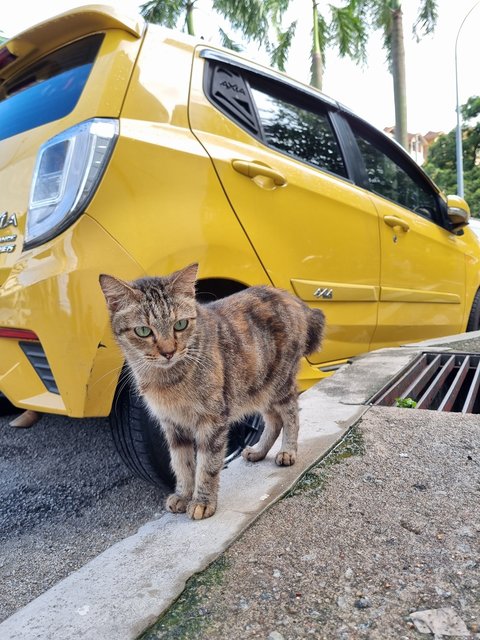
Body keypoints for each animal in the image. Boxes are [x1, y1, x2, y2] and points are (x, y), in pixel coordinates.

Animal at [99, 264, 324, 520]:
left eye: (180, 325)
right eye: (143, 331)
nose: (168, 352)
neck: (168, 381)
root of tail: (290, 297)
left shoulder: (212, 419)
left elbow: (207, 465)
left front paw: (202, 501)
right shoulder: (172, 424)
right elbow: (182, 463)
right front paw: (184, 494)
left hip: (279, 384)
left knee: (291, 415)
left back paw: (288, 451)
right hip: (257, 388)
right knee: (273, 421)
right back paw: (258, 451)